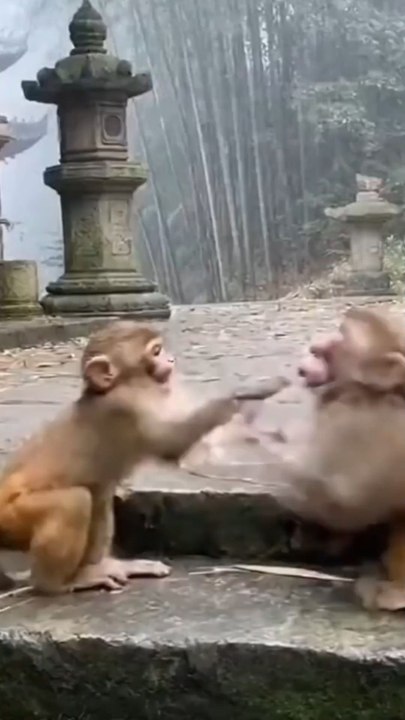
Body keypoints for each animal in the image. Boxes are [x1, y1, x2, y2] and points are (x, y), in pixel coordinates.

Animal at [0, 321, 288, 595]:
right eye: (156, 351)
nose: (171, 359)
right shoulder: (126, 407)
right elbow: (172, 444)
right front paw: (249, 392)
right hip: (11, 518)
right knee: (74, 501)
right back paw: (55, 584)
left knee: (98, 498)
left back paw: (100, 567)